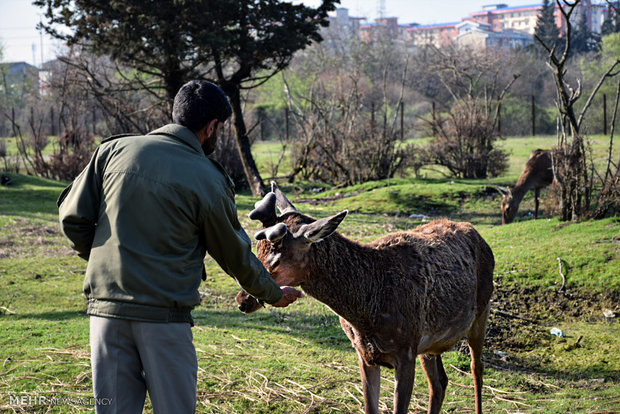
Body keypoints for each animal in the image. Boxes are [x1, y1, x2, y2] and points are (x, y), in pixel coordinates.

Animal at [235, 182, 496, 414]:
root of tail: (477, 232)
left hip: (481, 310)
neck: (366, 313)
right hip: (429, 344)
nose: (242, 300)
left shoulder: (406, 351)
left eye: (277, 260)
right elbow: (370, 407)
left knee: (477, 368)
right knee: (440, 382)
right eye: (258, 251)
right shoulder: (365, 354)